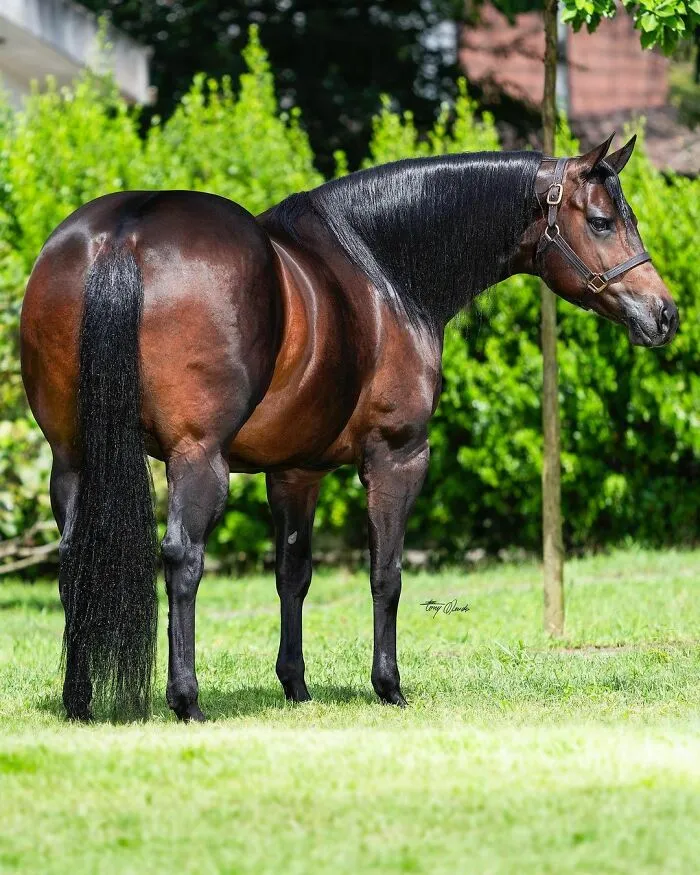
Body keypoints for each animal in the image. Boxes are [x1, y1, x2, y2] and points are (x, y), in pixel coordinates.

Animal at [20, 134, 679, 721]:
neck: (382, 270)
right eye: (601, 222)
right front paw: (388, 685)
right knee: (182, 557)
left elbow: (293, 574)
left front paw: (295, 683)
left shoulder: (295, 471)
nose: (664, 315)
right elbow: (386, 572)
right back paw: (187, 700)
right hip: (197, 459)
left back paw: (78, 699)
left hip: (72, 457)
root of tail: (125, 232)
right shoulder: (397, 457)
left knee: (74, 557)